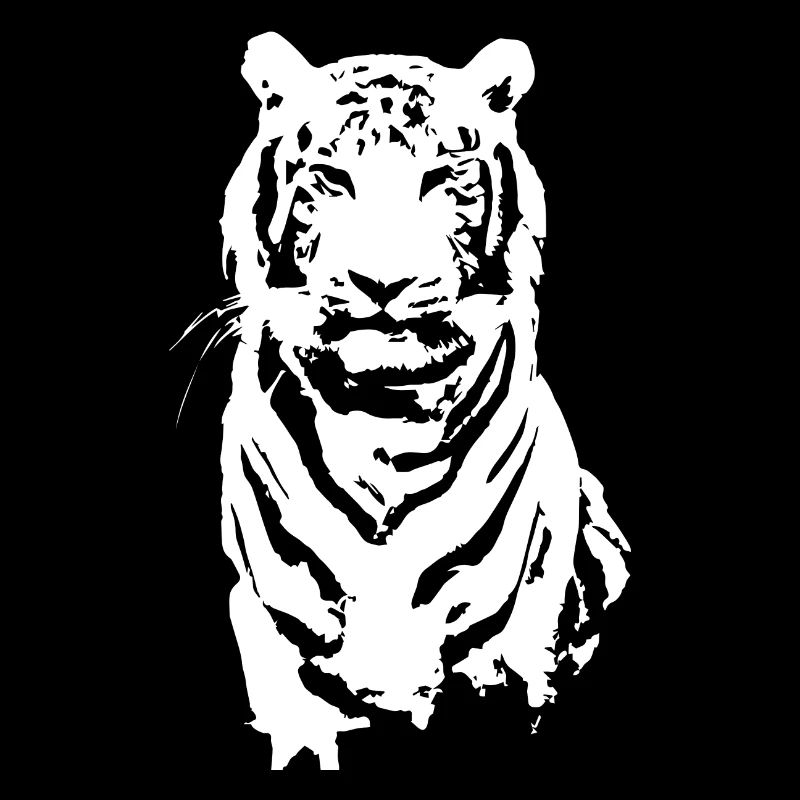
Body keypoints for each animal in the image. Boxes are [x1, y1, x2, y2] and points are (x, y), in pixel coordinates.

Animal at [214, 32, 631, 770]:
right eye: (331, 178)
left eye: (441, 178)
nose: (383, 282)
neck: (384, 416)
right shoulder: (269, 617)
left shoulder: (514, 643)